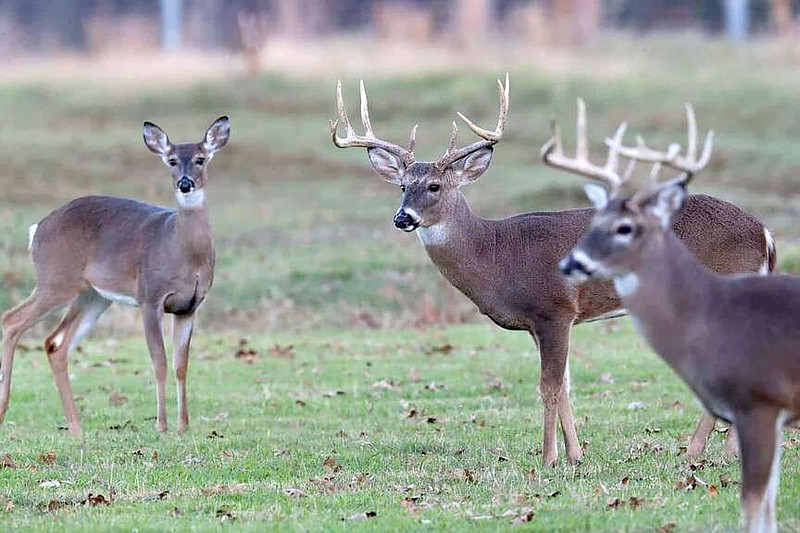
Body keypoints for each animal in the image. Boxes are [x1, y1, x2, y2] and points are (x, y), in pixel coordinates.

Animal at [0, 115, 231, 432]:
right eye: (171, 160)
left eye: (200, 159)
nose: (185, 184)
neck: (183, 253)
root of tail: (37, 229)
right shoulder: (150, 297)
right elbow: (159, 362)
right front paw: (161, 426)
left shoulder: (189, 306)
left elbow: (181, 365)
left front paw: (184, 426)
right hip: (56, 279)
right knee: (11, 320)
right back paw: (5, 410)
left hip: (93, 296)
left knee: (55, 344)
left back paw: (76, 428)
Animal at [328, 76, 772, 466]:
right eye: (403, 186)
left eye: (434, 186)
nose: (402, 218)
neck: (495, 255)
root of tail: (763, 232)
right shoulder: (538, 322)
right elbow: (566, 387)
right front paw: (575, 456)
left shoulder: (555, 308)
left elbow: (549, 387)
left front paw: (549, 458)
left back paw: (706, 452)